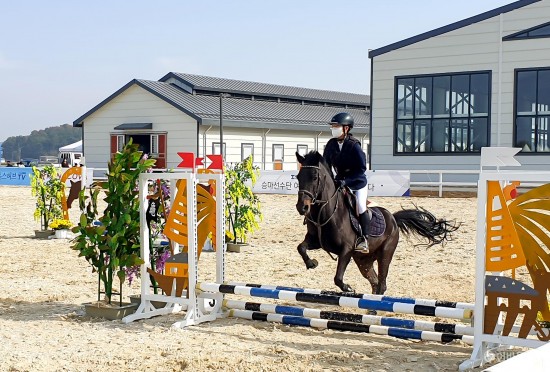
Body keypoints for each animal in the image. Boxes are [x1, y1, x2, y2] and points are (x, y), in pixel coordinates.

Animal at [298, 150, 462, 294]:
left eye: (314, 177)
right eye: (298, 177)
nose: (302, 207)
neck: (324, 213)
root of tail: (393, 218)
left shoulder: (347, 250)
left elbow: (338, 278)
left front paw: (348, 288)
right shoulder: (316, 242)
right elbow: (301, 248)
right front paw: (312, 263)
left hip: (385, 254)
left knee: (381, 284)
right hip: (363, 260)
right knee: (375, 282)